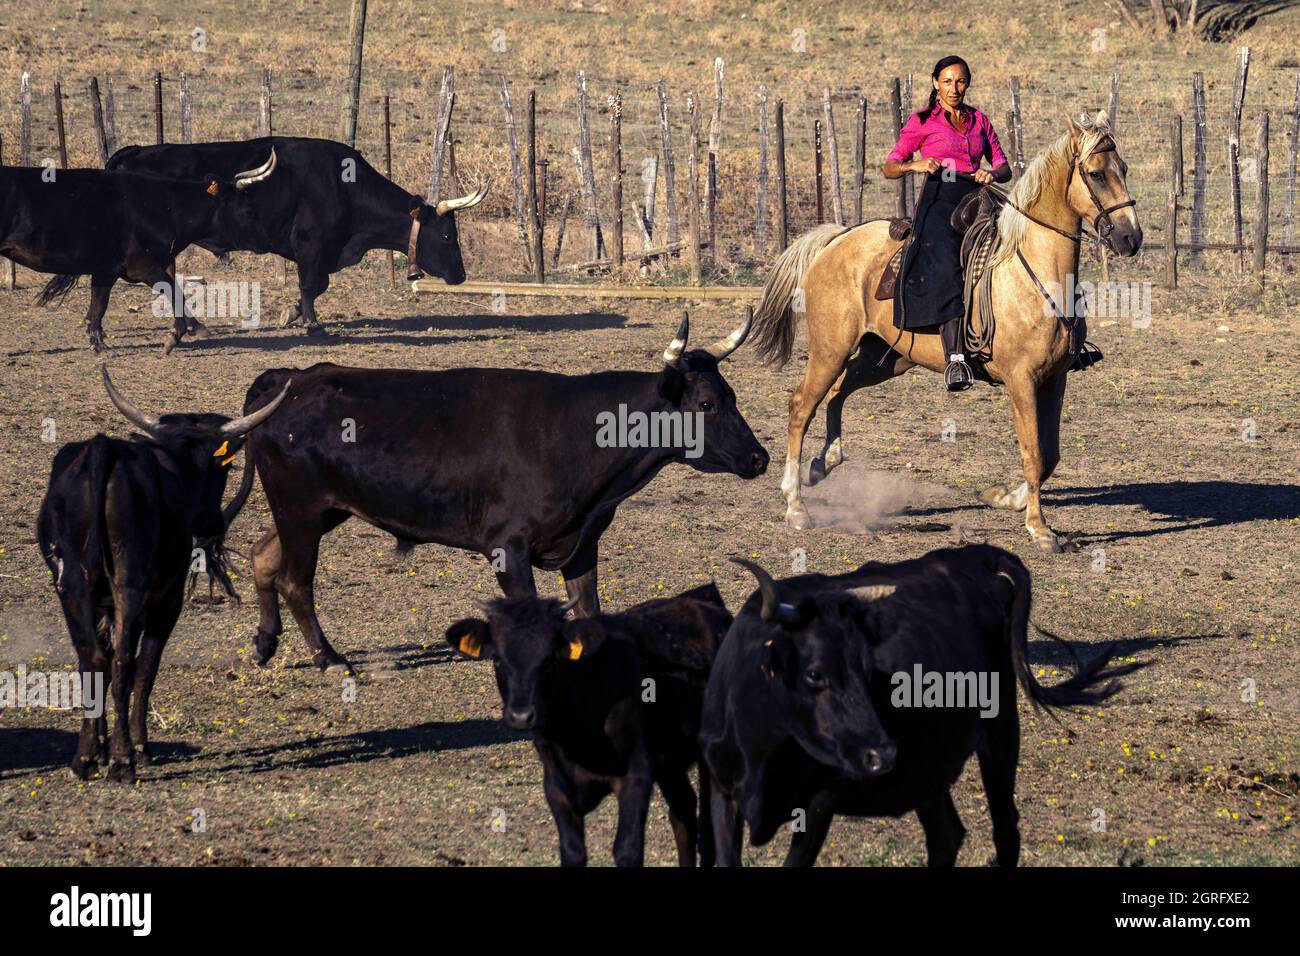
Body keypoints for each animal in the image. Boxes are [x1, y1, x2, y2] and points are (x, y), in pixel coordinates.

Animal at [37, 369, 289, 780]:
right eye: (225, 467)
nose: (213, 522)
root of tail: (103, 451)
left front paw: (101, 748)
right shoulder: (165, 601)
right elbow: (146, 666)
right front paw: (137, 747)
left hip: (72, 586)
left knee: (92, 658)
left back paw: (85, 759)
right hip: (131, 587)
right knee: (125, 662)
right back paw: (124, 761)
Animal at [220, 312, 769, 671]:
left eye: (732, 396)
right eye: (705, 403)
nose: (759, 458)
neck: (577, 434)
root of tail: (291, 379)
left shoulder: (581, 546)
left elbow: (589, 612)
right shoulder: (508, 548)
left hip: (321, 510)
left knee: (263, 555)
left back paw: (265, 644)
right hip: (300, 509)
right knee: (295, 580)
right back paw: (329, 659)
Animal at [447, 582, 733, 868]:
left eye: (550, 659)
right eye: (497, 659)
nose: (521, 715)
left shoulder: (636, 777)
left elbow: (627, 850)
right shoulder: (556, 785)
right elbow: (573, 851)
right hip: (671, 764)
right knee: (683, 812)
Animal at [748, 111, 1144, 554]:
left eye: (1124, 169)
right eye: (1095, 174)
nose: (1131, 237)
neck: (1037, 274)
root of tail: (835, 239)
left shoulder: (1055, 379)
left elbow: (1049, 455)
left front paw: (1005, 497)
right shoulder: (1021, 381)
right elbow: (1032, 453)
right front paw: (1040, 529)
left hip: (883, 359)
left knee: (837, 394)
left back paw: (823, 463)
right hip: (831, 349)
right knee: (802, 406)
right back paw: (796, 505)